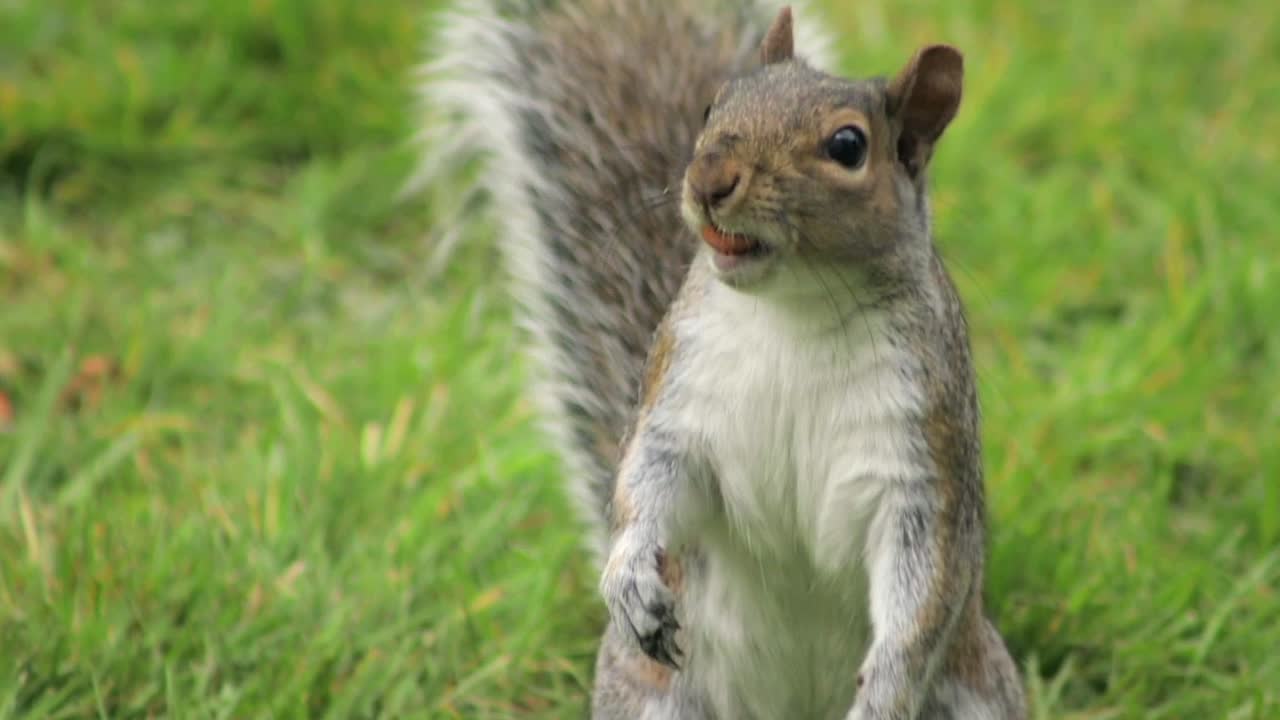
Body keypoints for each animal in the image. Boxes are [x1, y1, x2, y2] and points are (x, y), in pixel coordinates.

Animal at [422, 1, 1027, 718]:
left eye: (848, 147)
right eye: (714, 105)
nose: (710, 180)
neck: (794, 313)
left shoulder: (924, 450)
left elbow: (926, 587)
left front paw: (884, 691)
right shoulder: (679, 391)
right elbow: (646, 482)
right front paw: (630, 579)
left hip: (974, 690)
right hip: (652, 697)